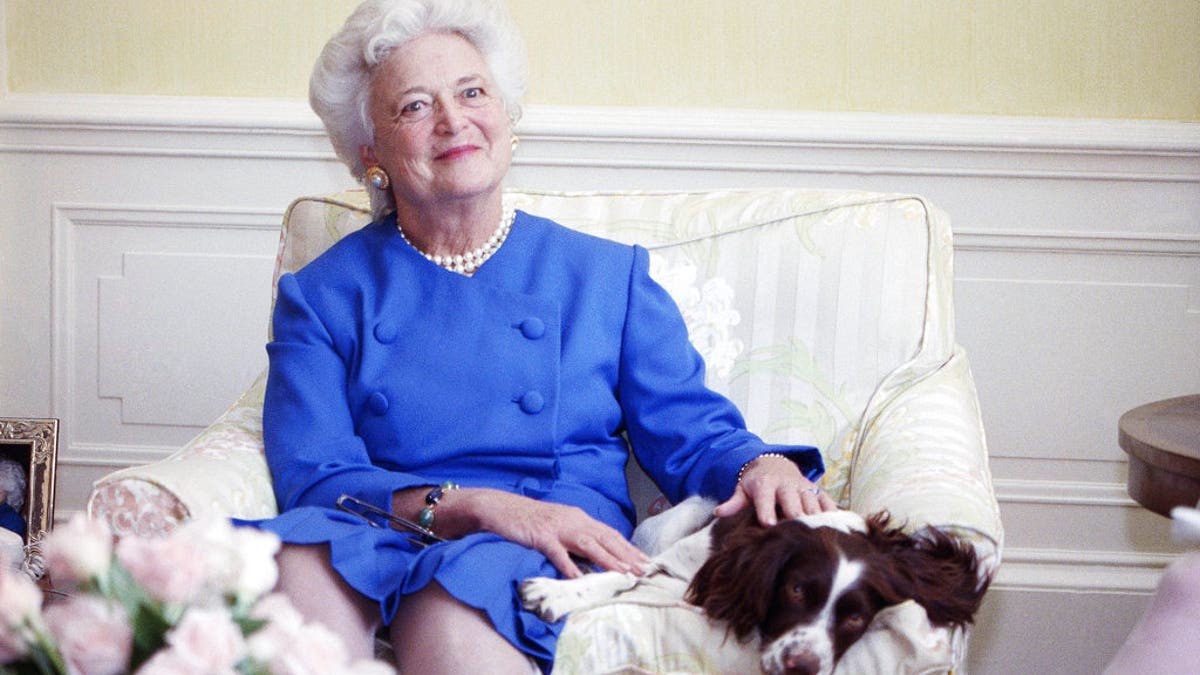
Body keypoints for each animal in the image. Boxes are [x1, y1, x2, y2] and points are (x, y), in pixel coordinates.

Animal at [520, 492, 988, 667]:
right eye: (796, 590)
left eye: (857, 619)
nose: (803, 666)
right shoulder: (673, 562)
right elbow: (624, 573)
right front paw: (556, 592)